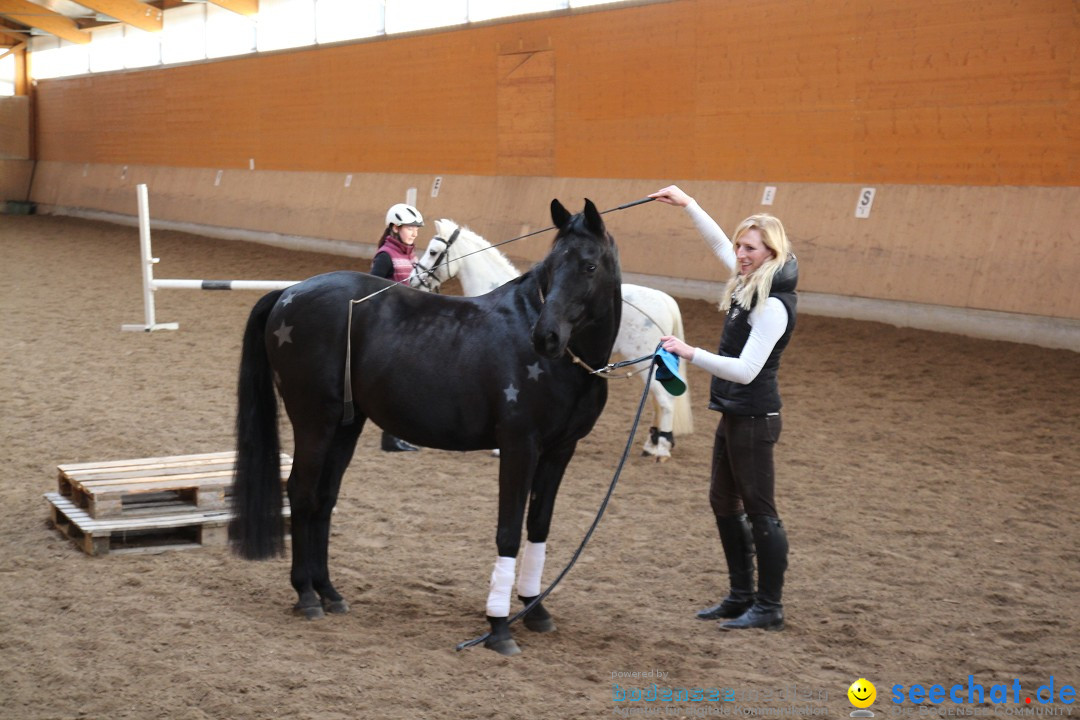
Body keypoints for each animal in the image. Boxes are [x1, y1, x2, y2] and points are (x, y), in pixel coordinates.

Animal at [234, 199, 626, 656]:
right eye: (551, 265)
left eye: (589, 266)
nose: (545, 336)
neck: (567, 362)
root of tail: (289, 293)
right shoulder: (519, 447)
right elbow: (509, 532)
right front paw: (499, 627)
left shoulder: (560, 451)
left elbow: (539, 527)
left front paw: (535, 609)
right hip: (315, 420)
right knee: (301, 492)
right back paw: (307, 596)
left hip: (346, 425)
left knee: (324, 499)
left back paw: (328, 592)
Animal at [408, 216, 695, 462]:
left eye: (433, 252)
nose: (413, 279)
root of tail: (665, 300)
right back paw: (654, 444)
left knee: (666, 402)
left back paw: (660, 450)